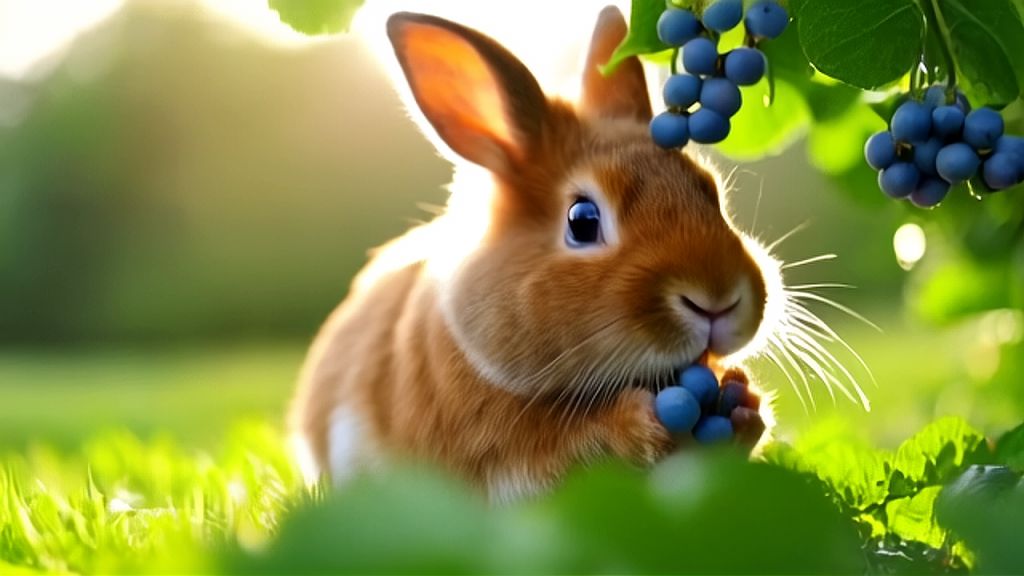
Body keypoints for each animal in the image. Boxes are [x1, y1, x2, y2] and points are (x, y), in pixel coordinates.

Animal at [289, 5, 780, 503]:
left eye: (710, 191)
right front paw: (639, 422)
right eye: (582, 220)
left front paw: (744, 403)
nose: (717, 300)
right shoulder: (497, 453)